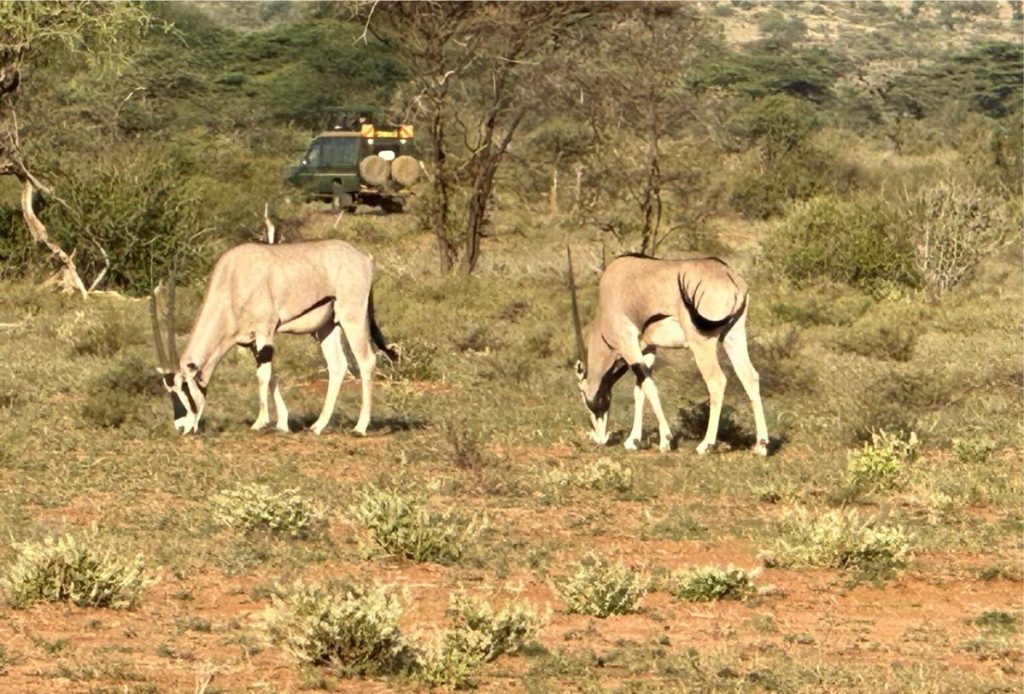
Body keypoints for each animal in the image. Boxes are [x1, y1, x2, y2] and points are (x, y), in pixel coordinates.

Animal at [151, 239, 399, 434]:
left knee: (366, 362)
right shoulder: (252, 341)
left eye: (184, 386)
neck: (233, 280)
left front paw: (261, 422)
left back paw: (360, 427)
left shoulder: (265, 331)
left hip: (352, 319)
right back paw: (318, 425)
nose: (181, 427)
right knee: (338, 366)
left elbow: (263, 376)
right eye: (168, 390)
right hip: (327, 327)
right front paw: (282, 423)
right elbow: (270, 376)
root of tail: (364, 259)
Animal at [569, 248, 770, 456]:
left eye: (582, 393)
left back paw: (706, 445)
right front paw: (633, 440)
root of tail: (728, 274)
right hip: (733, 336)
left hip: (701, 343)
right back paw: (761, 445)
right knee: (750, 377)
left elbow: (650, 387)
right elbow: (639, 389)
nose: (600, 438)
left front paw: (665, 439)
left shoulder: (627, 344)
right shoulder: (648, 349)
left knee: (717, 381)